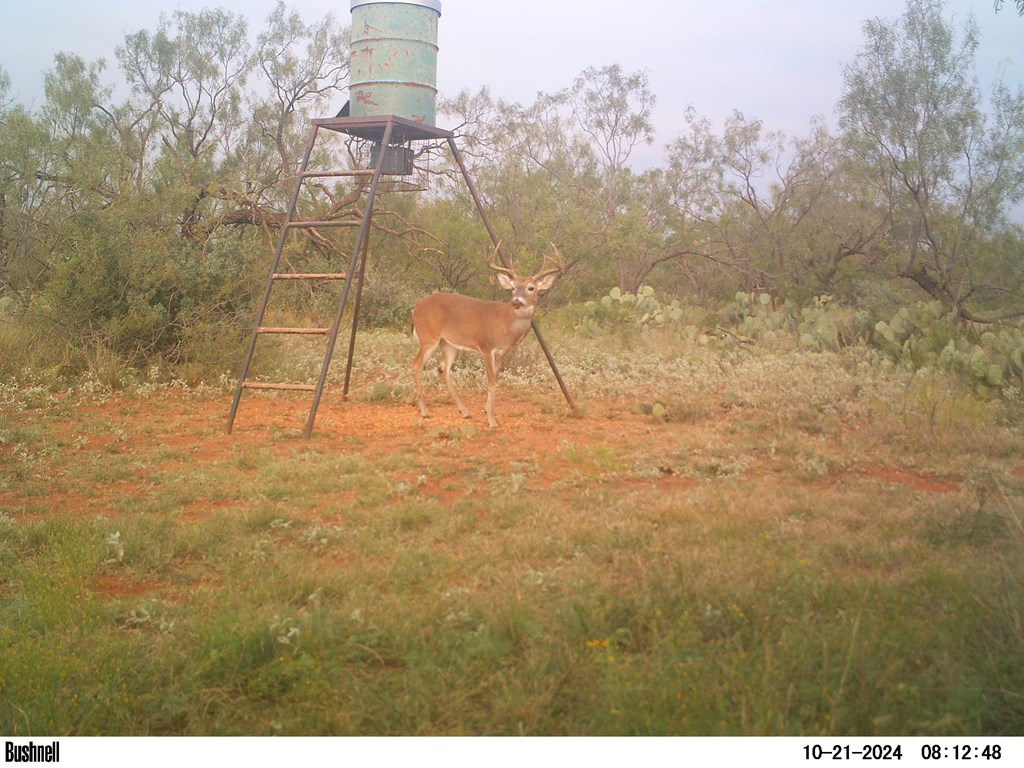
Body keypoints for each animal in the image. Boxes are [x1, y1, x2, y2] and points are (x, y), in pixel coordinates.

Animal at [411, 243, 565, 430]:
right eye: (513, 288)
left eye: (531, 288)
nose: (516, 301)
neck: (505, 322)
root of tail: (415, 309)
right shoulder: (486, 347)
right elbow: (491, 382)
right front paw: (492, 421)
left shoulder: (502, 352)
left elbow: (495, 379)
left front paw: (486, 410)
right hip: (428, 336)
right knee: (416, 364)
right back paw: (425, 411)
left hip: (449, 343)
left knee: (443, 368)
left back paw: (465, 411)